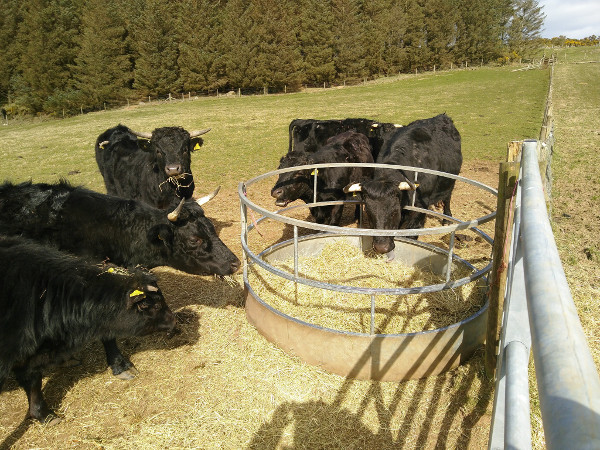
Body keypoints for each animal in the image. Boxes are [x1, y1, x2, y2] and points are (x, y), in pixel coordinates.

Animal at [342, 114, 464, 255]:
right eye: (368, 211)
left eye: (394, 211)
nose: (381, 248)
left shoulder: (421, 205)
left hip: (450, 181)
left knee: (447, 197)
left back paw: (447, 217)